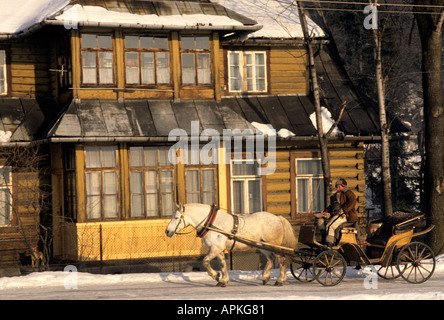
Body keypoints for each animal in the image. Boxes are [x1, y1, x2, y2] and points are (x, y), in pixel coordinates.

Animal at [165, 204, 296, 288]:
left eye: (176, 217)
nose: (167, 231)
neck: (212, 224)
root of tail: (277, 218)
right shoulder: (218, 250)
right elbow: (222, 265)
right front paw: (223, 280)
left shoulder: (215, 248)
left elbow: (205, 261)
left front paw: (215, 275)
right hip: (262, 246)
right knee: (270, 259)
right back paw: (265, 277)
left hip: (273, 245)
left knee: (282, 259)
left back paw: (280, 280)